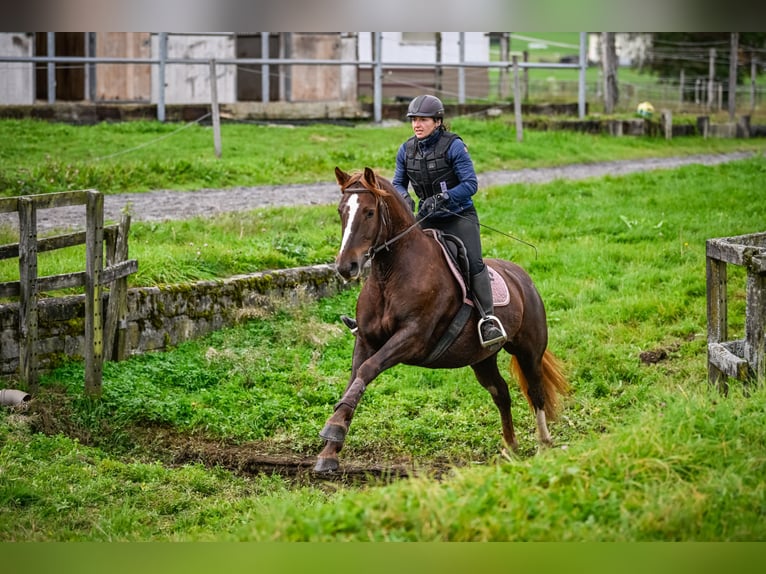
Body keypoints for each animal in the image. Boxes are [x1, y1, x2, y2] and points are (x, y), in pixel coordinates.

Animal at [314, 165, 568, 472]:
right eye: (341, 210)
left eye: (369, 212)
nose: (345, 267)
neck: (390, 276)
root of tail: (523, 278)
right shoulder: (366, 340)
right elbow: (355, 379)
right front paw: (330, 447)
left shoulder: (412, 337)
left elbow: (367, 370)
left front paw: (333, 429)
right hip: (482, 358)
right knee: (500, 392)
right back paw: (510, 447)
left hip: (528, 350)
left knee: (535, 391)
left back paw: (544, 444)